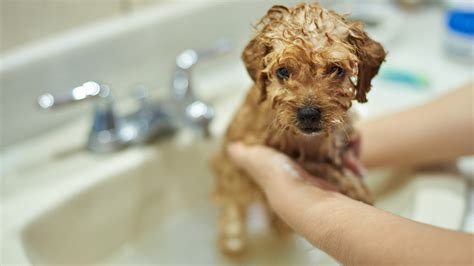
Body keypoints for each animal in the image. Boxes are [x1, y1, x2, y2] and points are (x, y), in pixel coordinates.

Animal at [210, 2, 386, 256]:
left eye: (336, 69)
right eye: (283, 71)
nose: (308, 113)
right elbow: (318, 166)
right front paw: (355, 187)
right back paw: (233, 235)